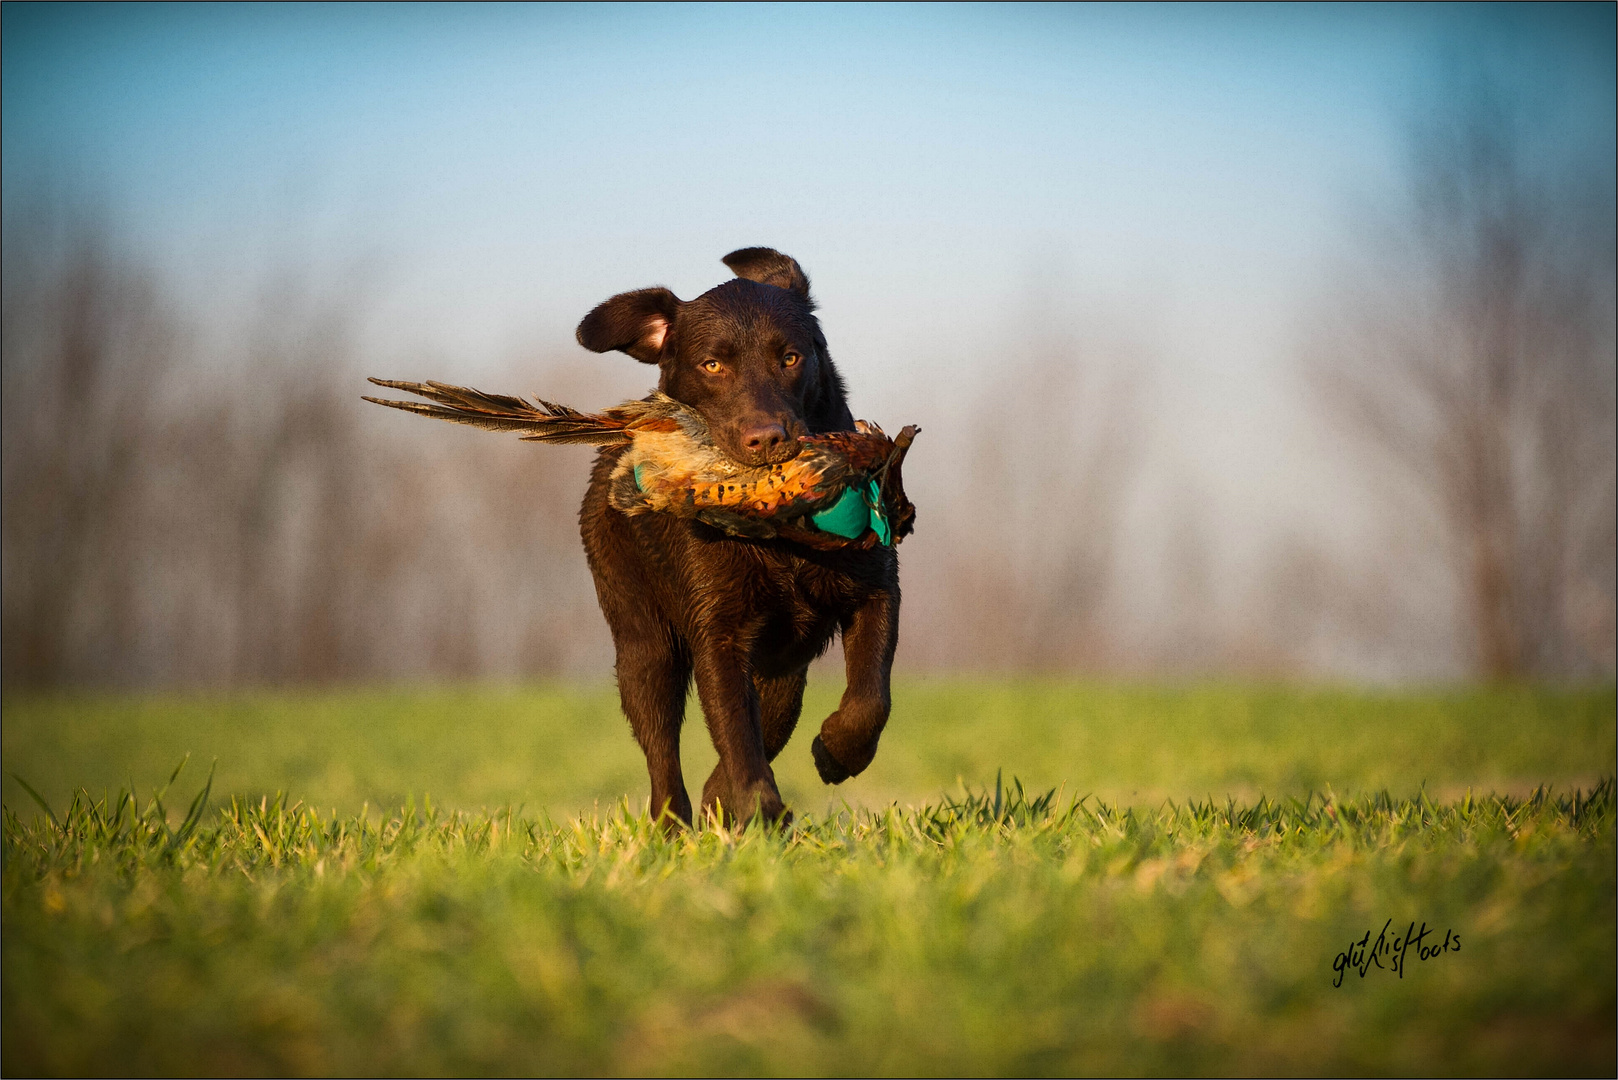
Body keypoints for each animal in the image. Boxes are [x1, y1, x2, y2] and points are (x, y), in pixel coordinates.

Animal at [572, 250, 906, 829]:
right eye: (712, 365)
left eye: (791, 357)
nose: (768, 439)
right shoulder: (719, 632)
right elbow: (734, 731)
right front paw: (759, 808)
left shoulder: (877, 587)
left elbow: (870, 698)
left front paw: (837, 753)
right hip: (644, 644)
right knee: (663, 752)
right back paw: (674, 825)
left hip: (783, 667)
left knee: (771, 717)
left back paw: (716, 802)